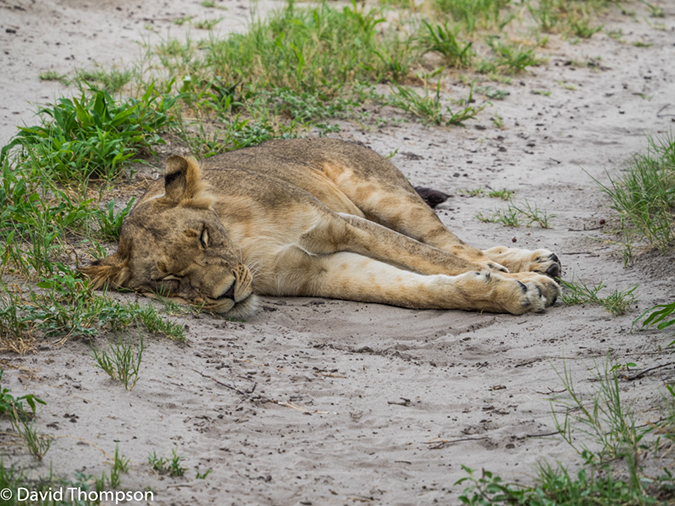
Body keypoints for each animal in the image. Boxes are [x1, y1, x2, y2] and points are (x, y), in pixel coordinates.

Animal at [82, 138, 564, 316]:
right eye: (168, 280)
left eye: (202, 236)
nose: (227, 294)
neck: (244, 246)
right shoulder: (319, 272)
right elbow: (413, 288)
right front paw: (518, 291)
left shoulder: (343, 225)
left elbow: (433, 258)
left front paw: (521, 281)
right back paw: (537, 263)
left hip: (385, 198)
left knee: (449, 242)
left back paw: (530, 262)